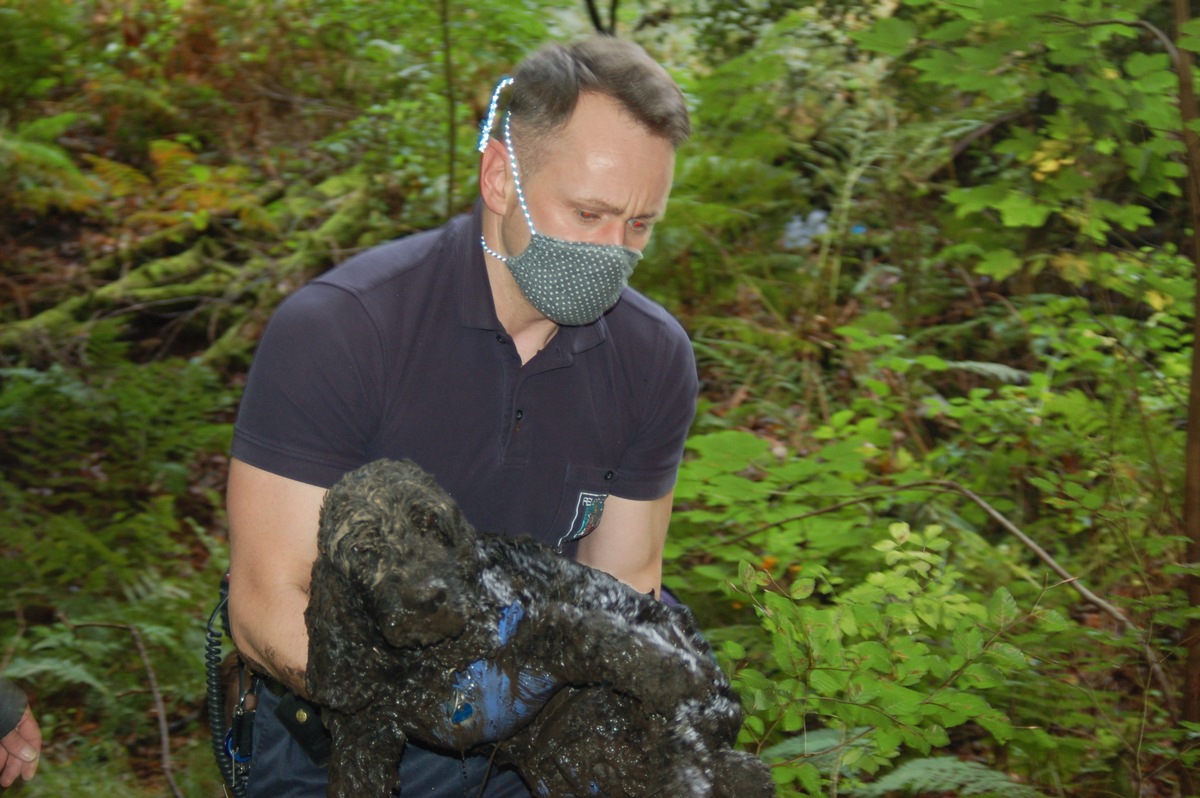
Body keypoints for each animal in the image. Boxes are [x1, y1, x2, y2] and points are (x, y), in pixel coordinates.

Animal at [304, 458, 772, 792]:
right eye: (365, 550)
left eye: (431, 526)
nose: (427, 597)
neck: (431, 658)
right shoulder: (362, 731)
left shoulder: (533, 627)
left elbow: (595, 634)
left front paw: (673, 670)